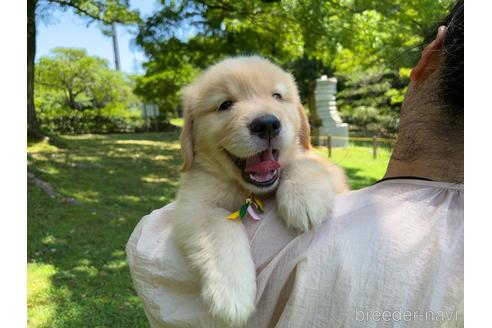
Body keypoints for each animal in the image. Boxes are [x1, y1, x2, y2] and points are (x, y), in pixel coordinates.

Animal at [173, 55, 350, 324]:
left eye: (277, 96)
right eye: (225, 104)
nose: (267, 124)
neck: (251, 190)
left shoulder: (328, 169)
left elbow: (303, 161)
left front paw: (303, 199)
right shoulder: (194, 204)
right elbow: (219, 232)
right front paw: (231, 294)